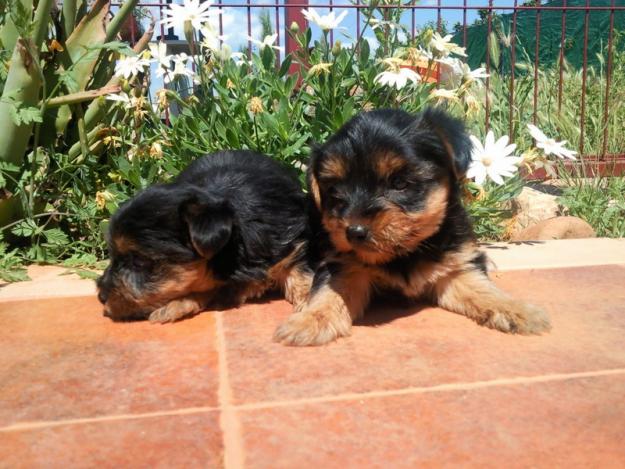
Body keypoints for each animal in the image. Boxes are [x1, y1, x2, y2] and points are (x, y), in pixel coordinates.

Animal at [274, 109, 552, 344]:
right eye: (334, 191)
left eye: (399, 183)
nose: (354, 232)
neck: (405, 253)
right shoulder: (343, 263)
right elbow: (330, 292)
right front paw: (309, 321)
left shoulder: (456, 267)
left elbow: (482, 288)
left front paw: (518, 310)